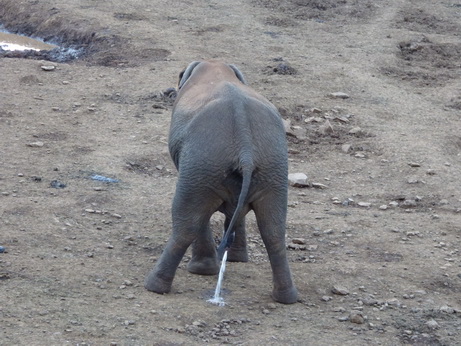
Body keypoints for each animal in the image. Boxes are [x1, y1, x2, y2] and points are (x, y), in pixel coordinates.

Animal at [146, 60, 300, 304]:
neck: (215, 66)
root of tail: (246, 149)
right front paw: (236, 259)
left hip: (204, 164)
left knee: (189, 220)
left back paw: (155, 286)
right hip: (273, 168)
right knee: (273, 230)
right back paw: (286, 298)